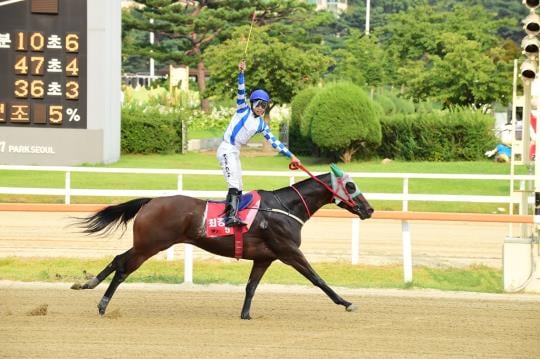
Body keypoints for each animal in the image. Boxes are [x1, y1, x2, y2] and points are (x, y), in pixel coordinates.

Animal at [74, 166, 374, 320]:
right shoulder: (289, 251)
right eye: (350, 186)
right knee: (124, 268)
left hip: (145, 244)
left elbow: (251, 286)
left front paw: (245, 314)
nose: (369, 210)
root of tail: (151, 201)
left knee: (117, 259)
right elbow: (317, 278)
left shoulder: (265, 257)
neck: (284, 207)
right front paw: (346, 302)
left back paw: (87, 284)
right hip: (150, 246)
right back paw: (102, 304)